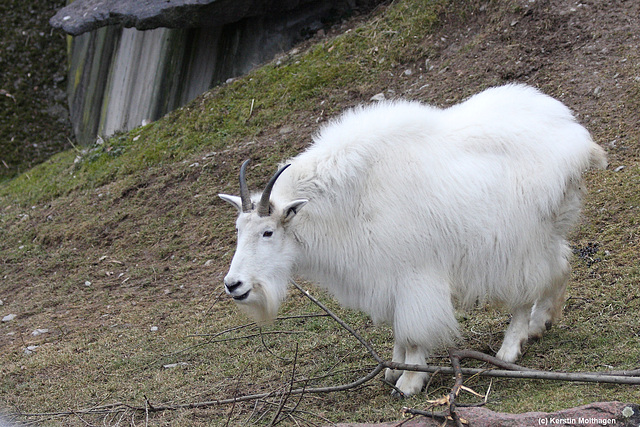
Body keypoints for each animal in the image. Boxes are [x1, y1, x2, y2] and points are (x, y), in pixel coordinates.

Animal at [219, 84, 604, 398]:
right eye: (238, 230)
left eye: (268, 232)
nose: (233, 285)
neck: (351, 199)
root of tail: (576, 137)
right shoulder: (388, 278)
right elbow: (399, 330)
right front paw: (394, 368)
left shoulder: (415, 275)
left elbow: (415, 330)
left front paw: (409, 382)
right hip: (549, 229)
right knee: (561, 263)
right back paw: (541, 324)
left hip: (521, 241)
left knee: (527, 289)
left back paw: (510, 349)